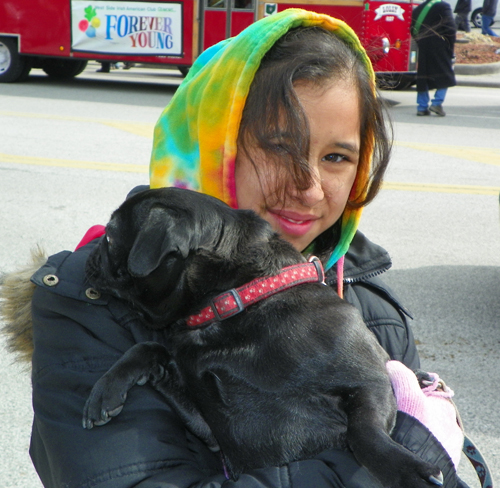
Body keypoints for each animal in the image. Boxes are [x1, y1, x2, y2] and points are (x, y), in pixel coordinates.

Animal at [83, 185, 442, 486]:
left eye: (111, 238)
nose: (92, 252)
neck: (238, 302)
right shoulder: (210, 429)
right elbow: (149, 348)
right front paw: (107, 389)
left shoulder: (369, 382)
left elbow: (364, 433)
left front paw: (406, 470)